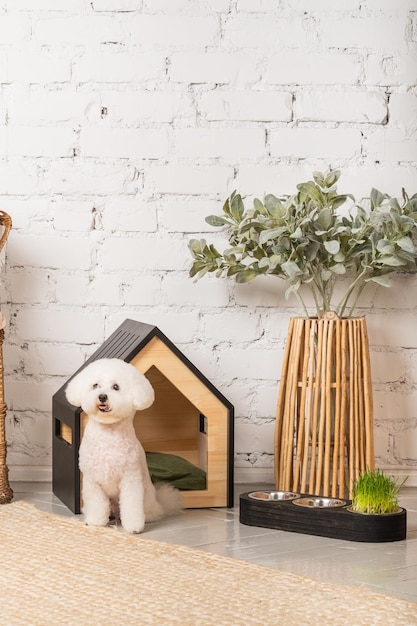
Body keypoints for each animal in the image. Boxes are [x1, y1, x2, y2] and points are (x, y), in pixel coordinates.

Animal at [65, 356, 182, 532]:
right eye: (95, 385)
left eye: (116, 387)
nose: (102, 396)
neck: (107, 434)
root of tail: (159, 500)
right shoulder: (92, 481)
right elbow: (97, 504)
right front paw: (95, 521)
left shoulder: (130, 479)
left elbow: (131, 504)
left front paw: (134, 527)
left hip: (147, 495)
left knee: (152, 510)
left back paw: (150, 516)